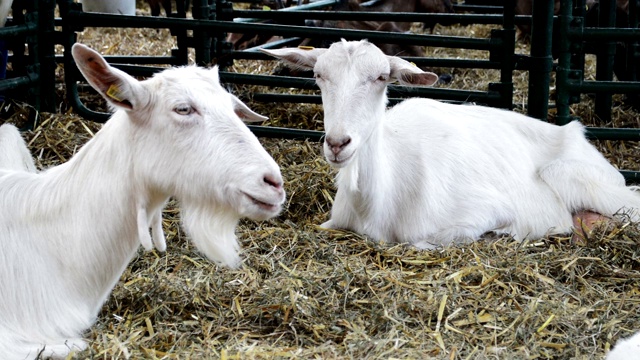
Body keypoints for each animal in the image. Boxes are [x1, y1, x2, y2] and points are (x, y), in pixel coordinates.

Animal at [262, 38, 640, 248]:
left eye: (381, 77)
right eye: (318, 75)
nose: (338, 143)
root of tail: (575, 134)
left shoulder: (482, 211)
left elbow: (424, 244)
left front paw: (502, 234)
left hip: (574, 175)